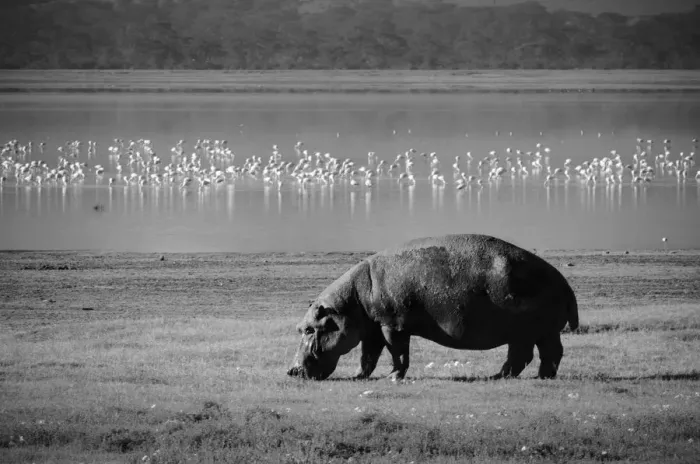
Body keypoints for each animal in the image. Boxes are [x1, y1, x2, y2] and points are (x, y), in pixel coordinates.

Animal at [287, 234, 579, 381]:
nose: (291, 371)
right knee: (533, 355)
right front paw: (359, 376)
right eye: (300, 328)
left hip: (533, 330)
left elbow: (397, 353)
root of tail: (563, 281)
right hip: (531, 332)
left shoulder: (392, 326)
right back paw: (514, 376)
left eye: (310, 329)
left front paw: (394, 377)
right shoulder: (373, 329)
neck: (350, 302)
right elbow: (368, 356)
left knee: (538, 354)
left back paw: (526, 377)